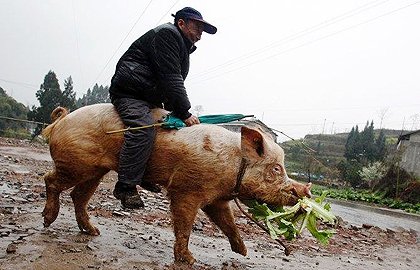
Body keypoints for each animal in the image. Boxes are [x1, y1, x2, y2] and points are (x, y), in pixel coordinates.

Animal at [41, 103, 312, 264]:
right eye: (276, 169)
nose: (305, 190)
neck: (234, 165)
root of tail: (61, 121)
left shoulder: (216, 199)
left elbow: (228, 223)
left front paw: (243, 251)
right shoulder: (186, 189)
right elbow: (184, 225)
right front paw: (189, 260)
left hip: (95, 170)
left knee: (78, 196)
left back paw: (93, 231)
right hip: (76, 164)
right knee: (50, 180)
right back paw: (48, 220)